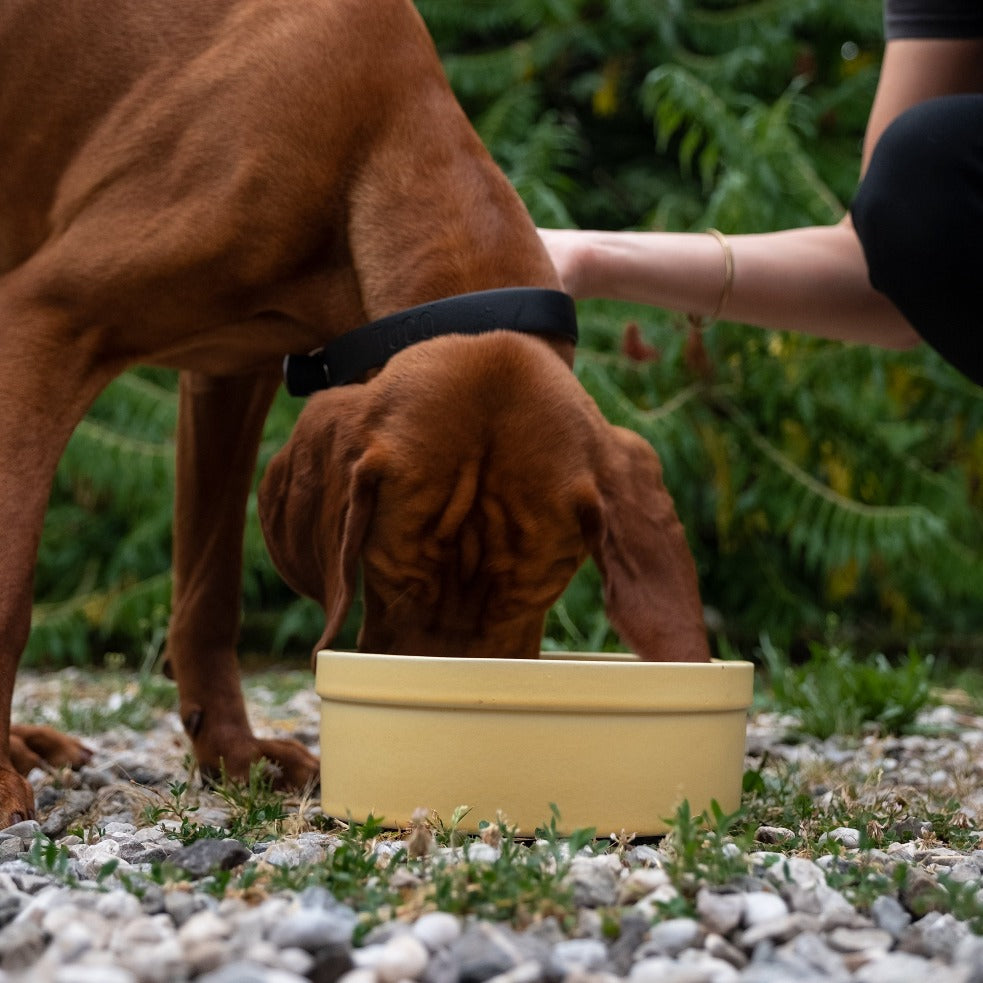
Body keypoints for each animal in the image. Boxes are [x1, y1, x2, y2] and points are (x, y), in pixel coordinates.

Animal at [0, 0, 708, 828]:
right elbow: (11, 587)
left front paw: (235, 754)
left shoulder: (228, 375)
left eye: (529, 594)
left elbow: (209, 593)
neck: (370, 145)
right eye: (393, 572)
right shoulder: (46, 322)